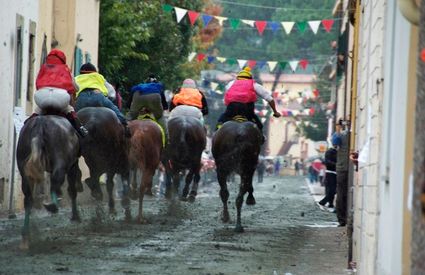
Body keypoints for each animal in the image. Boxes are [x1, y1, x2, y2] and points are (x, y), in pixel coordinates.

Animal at [16, 115, 81, 249]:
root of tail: (40, 123)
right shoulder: (72, 165)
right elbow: (72, 190)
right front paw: (75, 216)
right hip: (60, 162)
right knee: (55, 182)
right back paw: (52, 205)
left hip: (23, 165)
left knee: (28, 199)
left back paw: (25, 237)